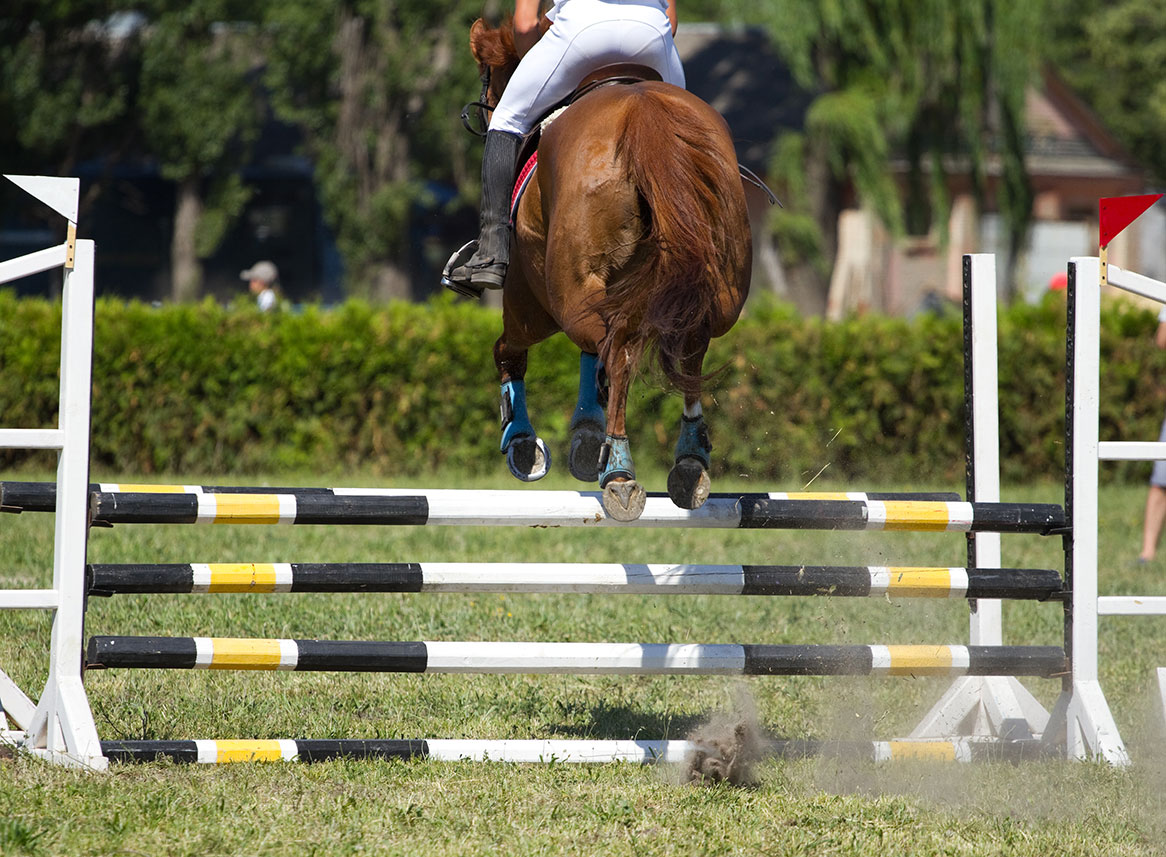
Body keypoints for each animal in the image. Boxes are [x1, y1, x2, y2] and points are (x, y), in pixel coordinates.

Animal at [468, 16, 750, 520]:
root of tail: (643, 111)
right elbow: (596, 354)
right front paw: (586, 435)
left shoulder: (532, 297)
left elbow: (511, 351)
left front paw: (525, 443)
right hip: (718, 292)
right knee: (687, 350)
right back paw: (690, 462)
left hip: (553, 298)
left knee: (613, 352)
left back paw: (618, 470)